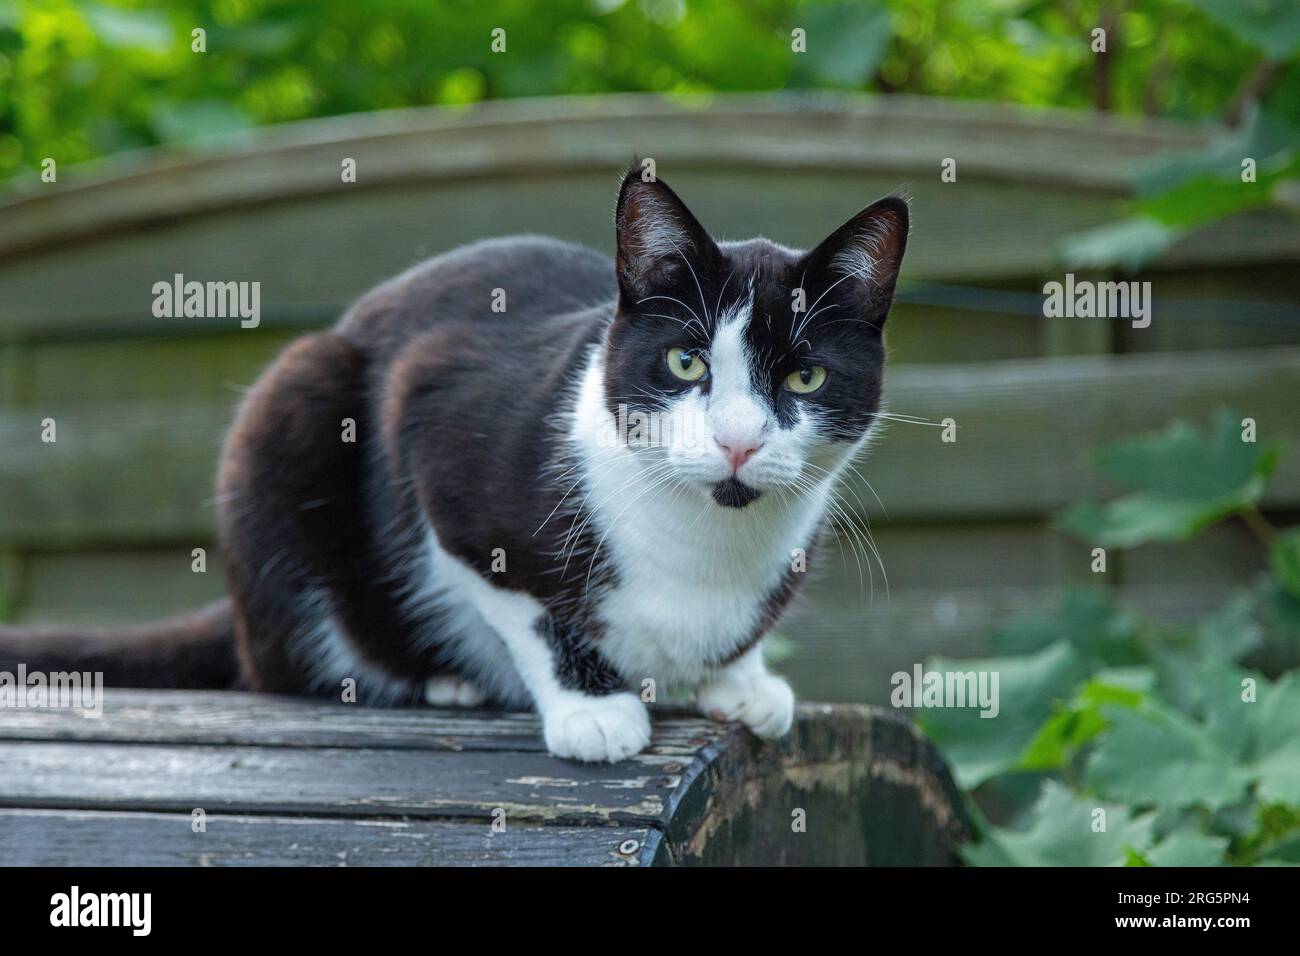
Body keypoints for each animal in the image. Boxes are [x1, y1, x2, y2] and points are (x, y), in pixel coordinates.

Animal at [0, 170, 909, 764]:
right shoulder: (435, 426)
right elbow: (525, 604)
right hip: (294, 401)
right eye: (686, 363)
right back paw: (441, 681)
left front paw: (743, 681)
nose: (738, 441)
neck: (708, 541)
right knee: (286, 666)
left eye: (805, 377)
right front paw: (593, 710)